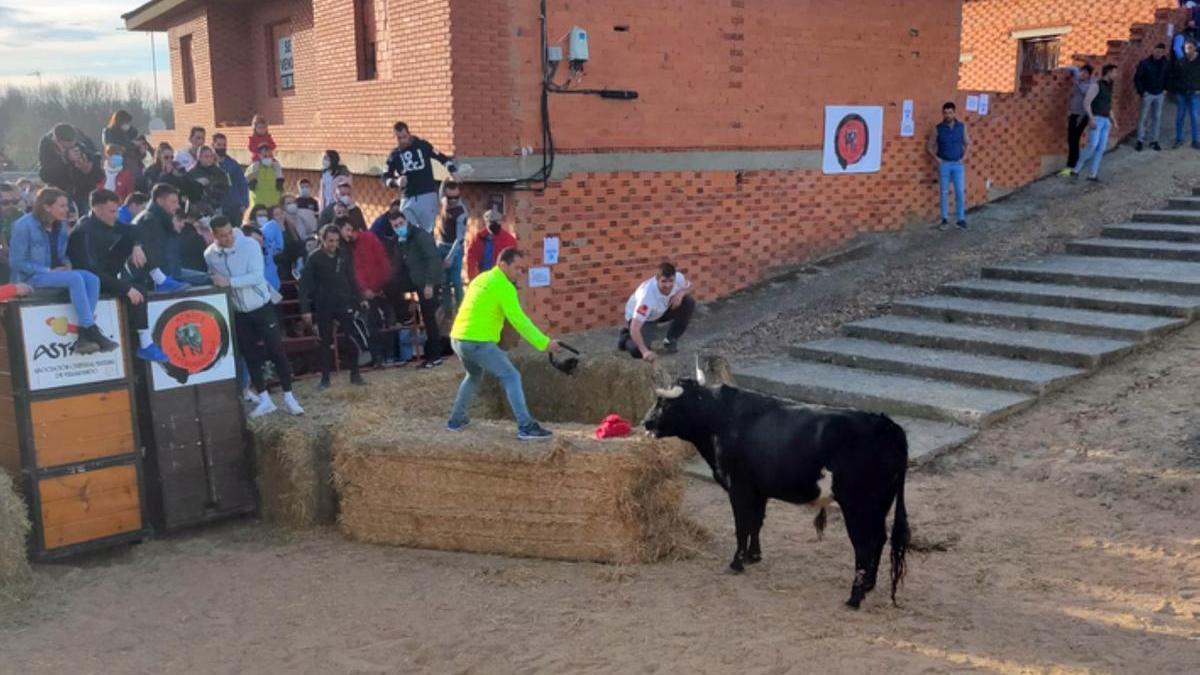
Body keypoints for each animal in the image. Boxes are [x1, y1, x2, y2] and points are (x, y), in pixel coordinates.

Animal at [648, 379, 907, 605]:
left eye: (665, 404)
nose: (646, 422)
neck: (720, 417)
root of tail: (887, 425)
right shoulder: (758, 491)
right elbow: (755, 523)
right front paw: (753, 557)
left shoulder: (739, 488)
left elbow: (741, 526)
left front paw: (736, 563)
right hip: (880, 504)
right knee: (879, 539)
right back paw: (869, 585)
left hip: (857, 506)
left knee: (864, 545)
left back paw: (855, 597)